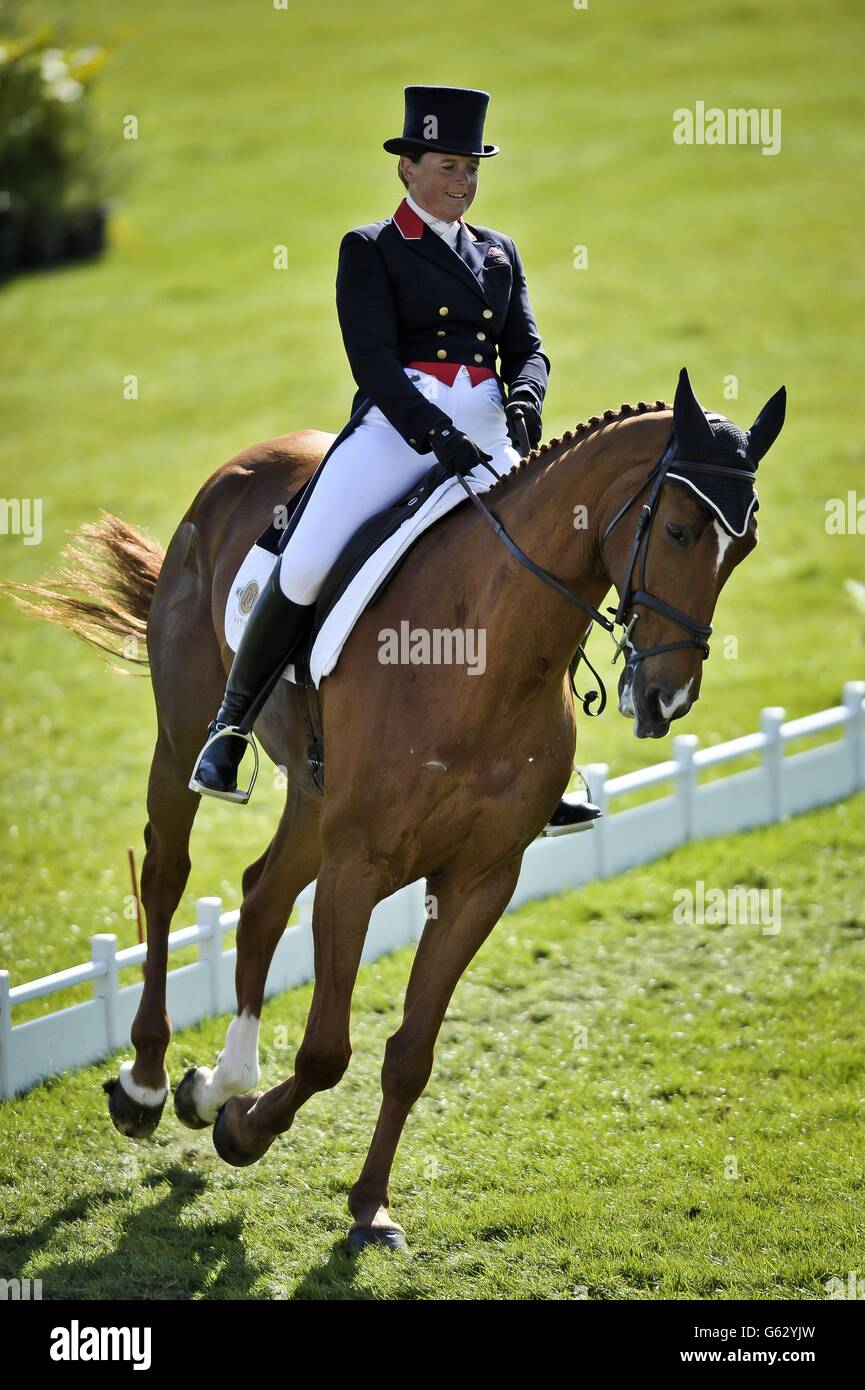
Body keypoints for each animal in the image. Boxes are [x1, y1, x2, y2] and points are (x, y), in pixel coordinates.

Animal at [5, 366, 784, 1251]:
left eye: (744, 545)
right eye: (681, 530)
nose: (666, 699)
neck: (482, 655)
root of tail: (248, 462)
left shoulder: (480, 879)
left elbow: (410, 1054)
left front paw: (364, 1204)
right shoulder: (358, 865)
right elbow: (325, 1052)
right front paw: (246, 1132)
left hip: (311, 799)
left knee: (260, 895)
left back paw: (215, 1083)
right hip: (181, 744)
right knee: (168, 877)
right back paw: (144, 1083)